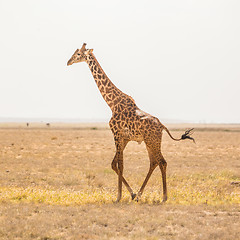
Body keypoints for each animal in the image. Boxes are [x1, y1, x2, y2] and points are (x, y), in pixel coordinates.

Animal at [66, 43, 194, 202]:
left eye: (78, 54)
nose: (68, 61)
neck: (112, 103)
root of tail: (162, 126)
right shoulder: (124, 138)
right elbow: (114, 164)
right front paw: (131, 194)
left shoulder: (116, 134)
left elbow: (120, 165)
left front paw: (118, 197)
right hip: (149, 142)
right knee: (154, 162)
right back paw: (139, 195)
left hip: (152, 141)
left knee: (162, 162)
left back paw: (164, 197)